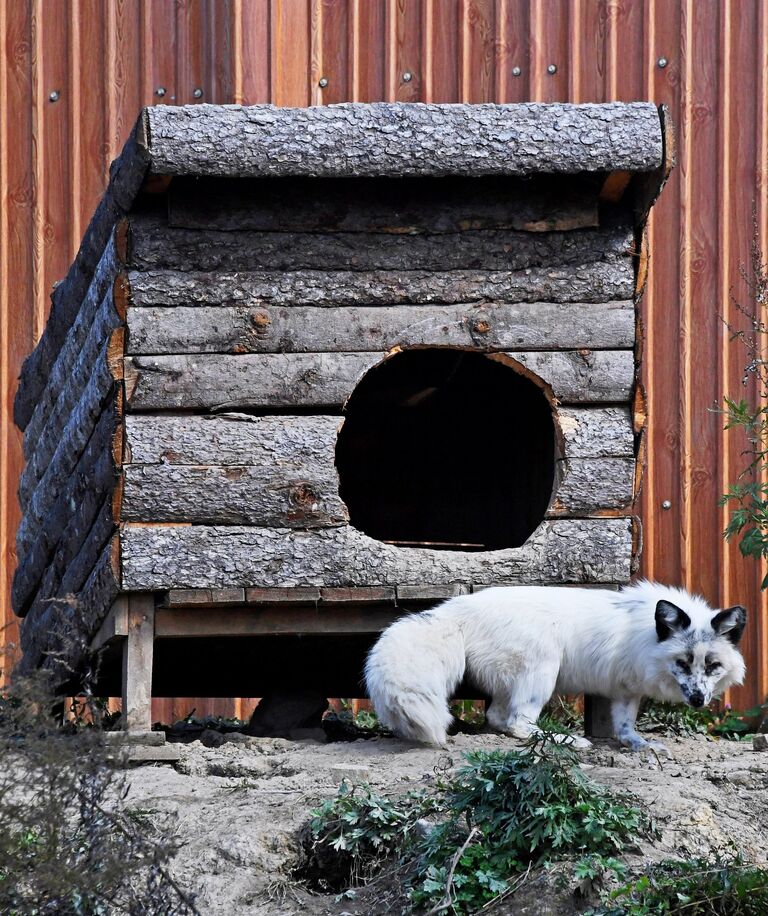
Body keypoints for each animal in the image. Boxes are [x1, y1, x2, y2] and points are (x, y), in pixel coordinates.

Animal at [364, 580, 748, 752]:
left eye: (712, 665)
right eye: (682, 662)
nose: (698, 700)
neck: (645, 635)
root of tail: (458, 608)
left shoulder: (626, 689)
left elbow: (625, 726)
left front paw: (639, 744)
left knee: (497, 718)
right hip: (543, 668)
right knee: (518, 723)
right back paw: (568, 740)